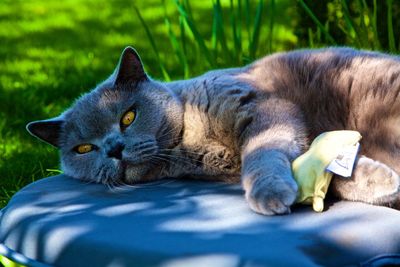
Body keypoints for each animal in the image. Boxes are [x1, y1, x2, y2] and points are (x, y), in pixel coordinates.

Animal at [26, 46, 400, 216]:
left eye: (128, 117)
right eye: (84, 149)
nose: (114, 148)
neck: (187, 144)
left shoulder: (263, 107)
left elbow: (262, 154)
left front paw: (269, 194)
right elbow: (332, 171)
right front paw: (383, 183)